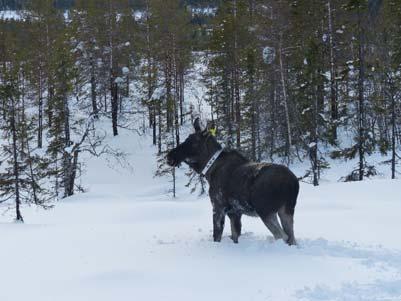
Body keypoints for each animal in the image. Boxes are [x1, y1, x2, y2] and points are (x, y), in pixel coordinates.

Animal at [165, 118, 296, 245]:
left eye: (192, 141)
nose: (169, 156)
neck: (209, 172)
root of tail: (292, 183)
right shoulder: (234, 212)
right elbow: (235, 236)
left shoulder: (218, 207)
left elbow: (217, 236)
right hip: (286, 210)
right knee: (292, 238)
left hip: (265, 210)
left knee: (282, 236)